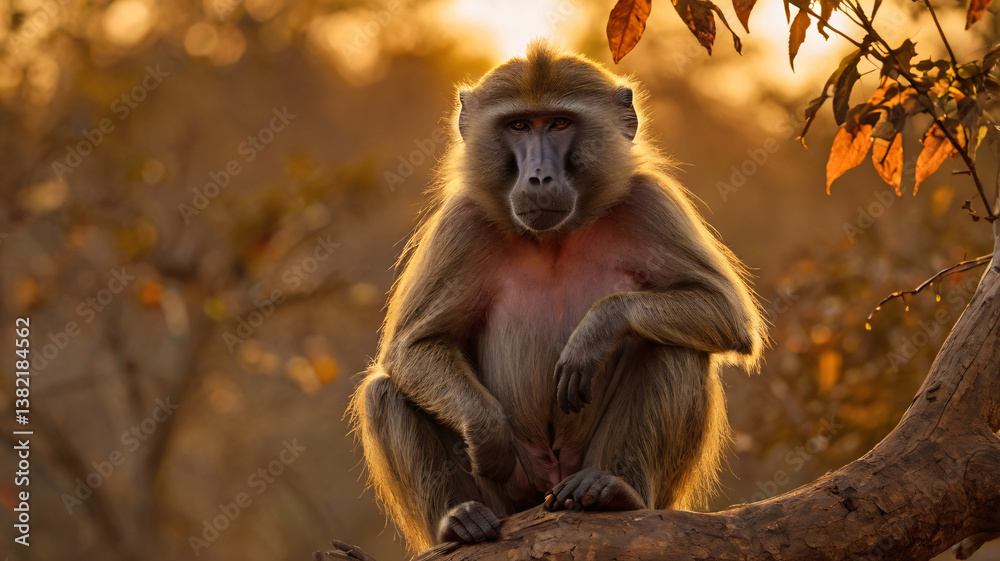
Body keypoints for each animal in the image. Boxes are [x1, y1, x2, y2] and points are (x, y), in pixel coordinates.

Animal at [346, 41, 765, 553]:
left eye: (560, 123)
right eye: (520, 126)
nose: (539, 179)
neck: (556, 236)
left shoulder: (649, 201)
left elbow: (725, 313)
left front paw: (595, 332)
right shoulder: (462, 223)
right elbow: (411, 348)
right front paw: (484, 429)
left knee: (677, 349)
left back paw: (615, 492)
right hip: (512, 493)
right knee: (386, 391)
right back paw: (457, 521)